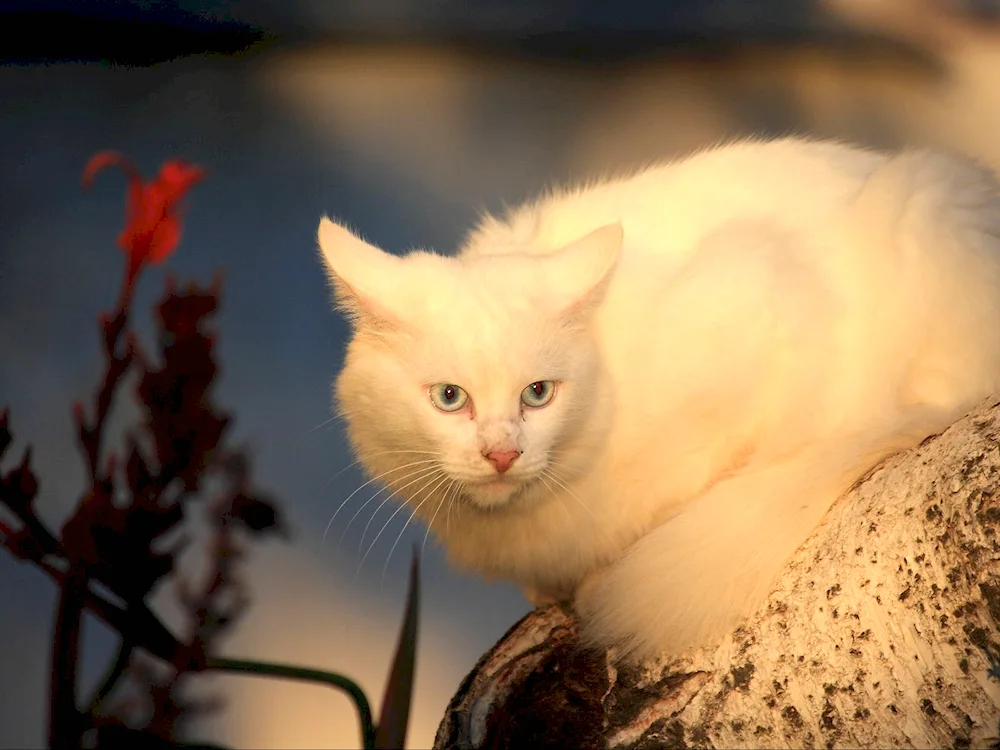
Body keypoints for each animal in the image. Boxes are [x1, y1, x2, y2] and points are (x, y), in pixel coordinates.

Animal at [316, 138, 1000, 660]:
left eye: (538, 394)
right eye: (449, 398)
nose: (502, 455)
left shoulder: (767, 317)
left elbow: (696, 481)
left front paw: (602, 575)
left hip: (921, 202)